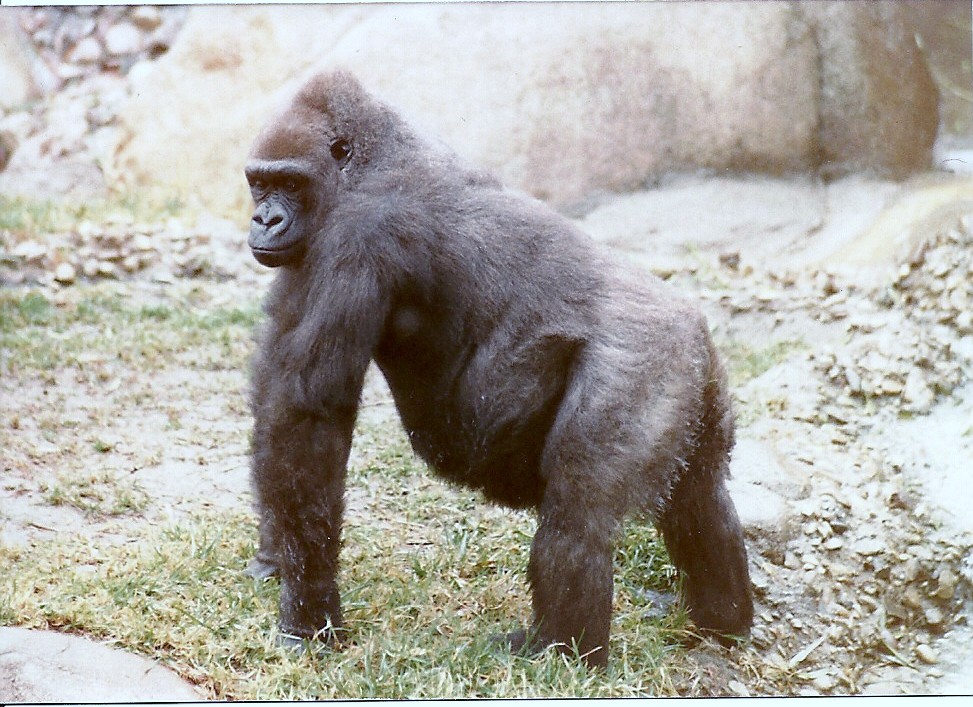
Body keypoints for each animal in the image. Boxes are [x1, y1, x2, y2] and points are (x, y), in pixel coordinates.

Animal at [244, 69, 752, 668]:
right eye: (258, 184)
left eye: (290, 184)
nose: (264, 219)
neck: (370, 159)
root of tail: (695, 331)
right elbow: (278, 400)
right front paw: (277, 558)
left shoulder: (360, 232)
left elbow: (309, 412)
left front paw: (309, 616)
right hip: (701, 380)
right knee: (700, 496)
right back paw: (723, 619)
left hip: (646, 361)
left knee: (579, 509)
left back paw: (559, 651)